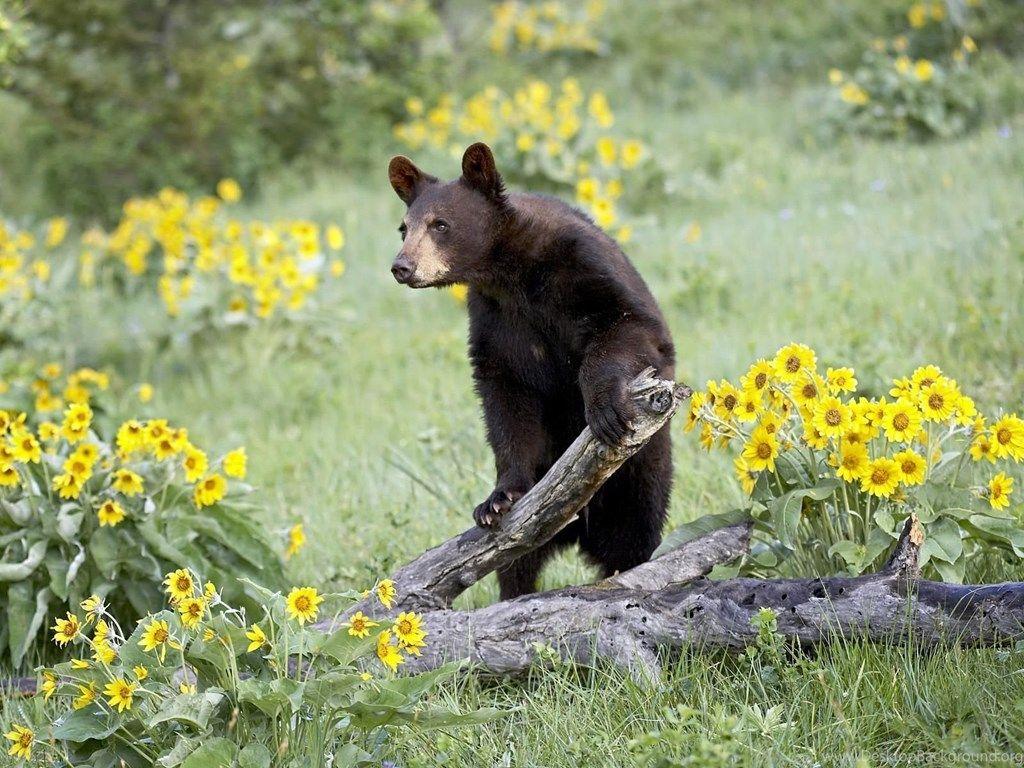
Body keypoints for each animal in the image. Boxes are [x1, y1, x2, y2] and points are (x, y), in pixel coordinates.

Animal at [387, 142, 675, 600]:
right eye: (404, 228)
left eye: (440, 224)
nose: (402, 266)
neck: (511, 272)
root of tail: (579, 533)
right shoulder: (495, 319)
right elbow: (507, 398)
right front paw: (497, 499)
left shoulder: (585, 266)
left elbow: (630, 325)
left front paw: (604, 411)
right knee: (516, 562)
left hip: (640, 476)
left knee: (635, 534)